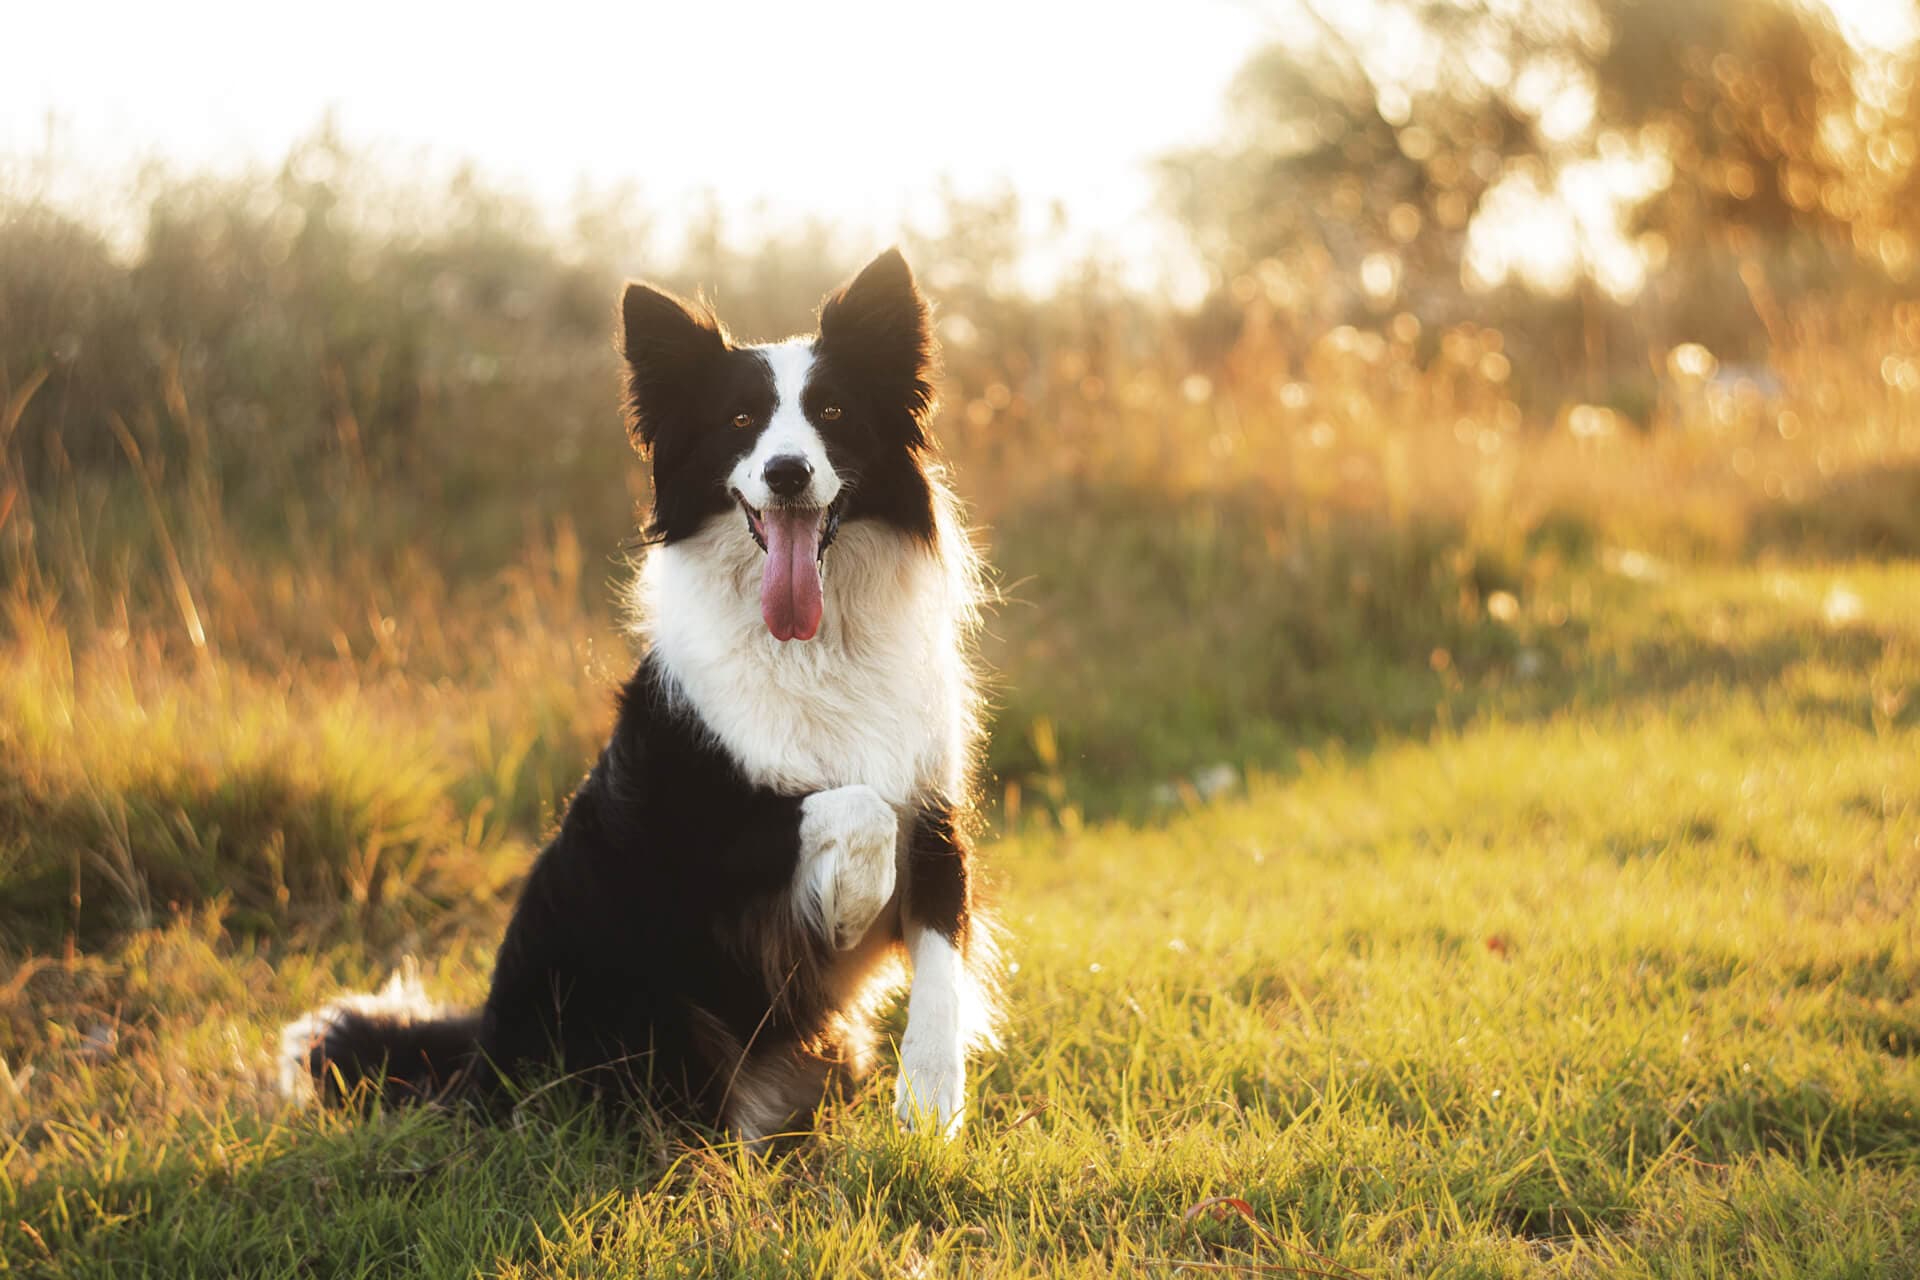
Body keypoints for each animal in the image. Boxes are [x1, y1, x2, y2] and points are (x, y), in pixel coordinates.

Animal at [288, 247, 1006, 1143]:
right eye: (740, 421)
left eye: (833, 410)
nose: (787, 471)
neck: (816, 646)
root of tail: (477, 1064)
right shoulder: (688, 827)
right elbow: (850, 804)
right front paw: (846, 910)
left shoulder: (934, 809)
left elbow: (941, 958)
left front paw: (931, 1106)